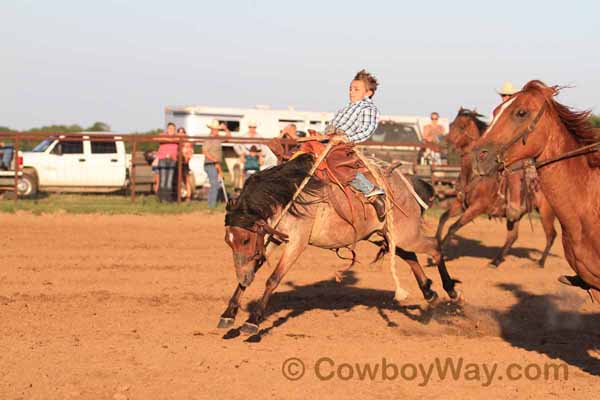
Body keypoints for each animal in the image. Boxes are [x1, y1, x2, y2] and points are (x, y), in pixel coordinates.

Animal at [220, 153, 460, 334]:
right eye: (228, 241)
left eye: (245, 239)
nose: (243, 278)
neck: (289, 194)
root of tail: (411, 183)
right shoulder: (271, 237)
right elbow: (252, 270)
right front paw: (228, 314)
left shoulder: (297, 241)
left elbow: (273, 279)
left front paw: (253, 321)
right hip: (388, 236)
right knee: (411, 256)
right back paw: (429, 292)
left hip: (406, 235)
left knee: (435, 247)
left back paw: (451, 293)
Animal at [436, 108, 556, 268]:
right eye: (451, 125)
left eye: (462, 126)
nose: (445, 147)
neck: (474, 174)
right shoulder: (461, 205)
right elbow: (443, 218)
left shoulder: (477, 207)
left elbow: (453, 227)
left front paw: (440, 253)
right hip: (515, 215)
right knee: (513, 236)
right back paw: (496, 261)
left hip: (546, 212)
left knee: (551, 235)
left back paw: (540, 262)